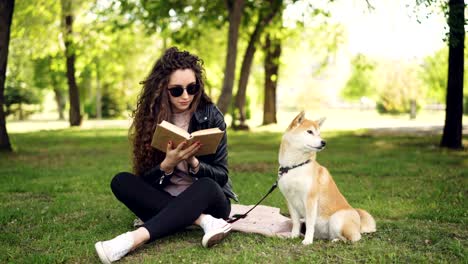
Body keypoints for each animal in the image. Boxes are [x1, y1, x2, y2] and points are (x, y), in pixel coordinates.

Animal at [278, 111, 376, 245]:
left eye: (319, 133)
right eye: (310, 132)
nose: (324, 142)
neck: (295, 166)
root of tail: (359, 224)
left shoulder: (310, 199)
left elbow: (309, 223)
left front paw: (307, 241)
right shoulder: (289, 199)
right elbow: (296, 222)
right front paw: (293, 236)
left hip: (337, 219)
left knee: (353, 238)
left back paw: (336, 241)